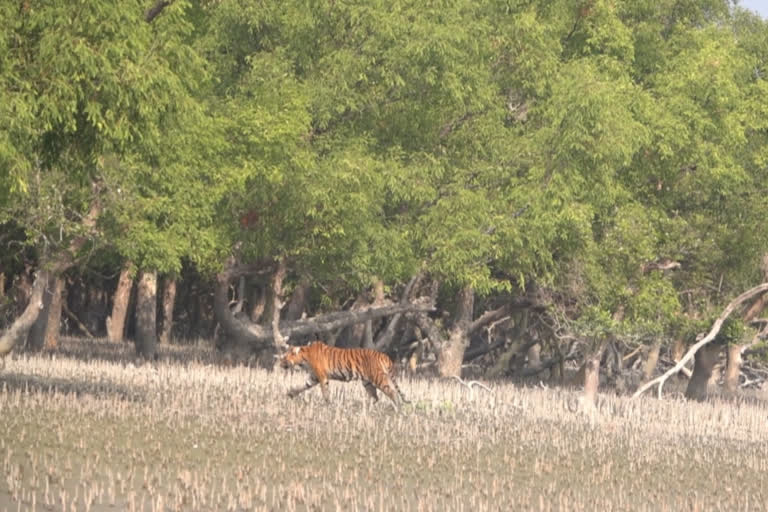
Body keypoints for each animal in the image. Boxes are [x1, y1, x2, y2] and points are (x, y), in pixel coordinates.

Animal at [278, 342, 408, 406]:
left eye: (284, 357)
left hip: (378, 378)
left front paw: (328, 404)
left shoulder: (321, 376)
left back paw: (398, 407)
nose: (280, 364)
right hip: (367, 382)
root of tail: (384, 355)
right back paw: (364, 407)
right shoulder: (314, 377)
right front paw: (290, 393)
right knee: (375, 397)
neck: (304, 358)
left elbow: (325, 391)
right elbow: (303, 386)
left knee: (392, 392)